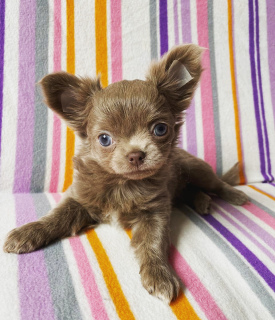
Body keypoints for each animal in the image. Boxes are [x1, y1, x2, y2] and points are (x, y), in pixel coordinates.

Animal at [3, 44, 249, 302]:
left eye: (160, 129)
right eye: (104, 139)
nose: (136, 154)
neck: (121, 183)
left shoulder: (155, 211)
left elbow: (153, 241)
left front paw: (159, 274)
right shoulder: (79, 197)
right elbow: (56, 216)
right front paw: (28, 232)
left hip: (198, 170)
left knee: (217, 183)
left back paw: (234, 196)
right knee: (192, 191)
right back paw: (202, 202)